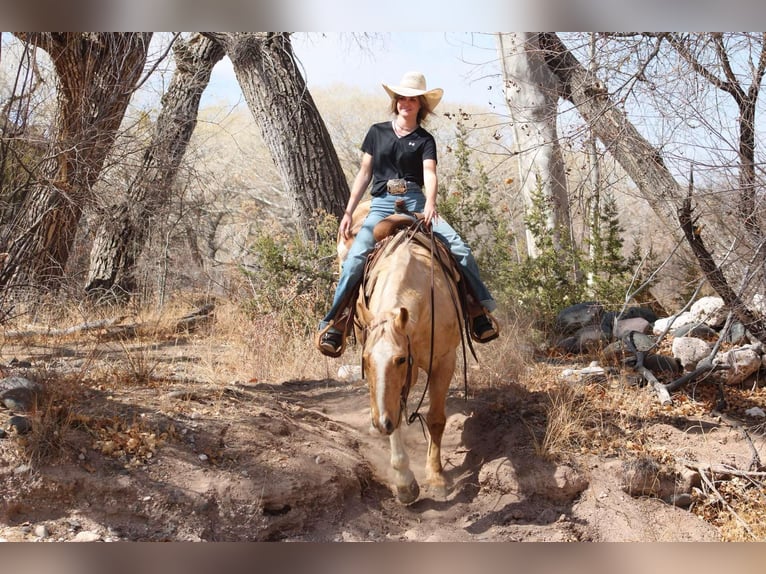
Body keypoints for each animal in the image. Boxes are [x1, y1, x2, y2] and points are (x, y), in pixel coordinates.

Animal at [340, 201, 462, 504]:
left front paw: (436, 476)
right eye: (365, 361)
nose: (378, 424)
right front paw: (405, 483)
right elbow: (394, 414)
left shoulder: (444, 361)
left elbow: (436, 418)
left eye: (400, 359)